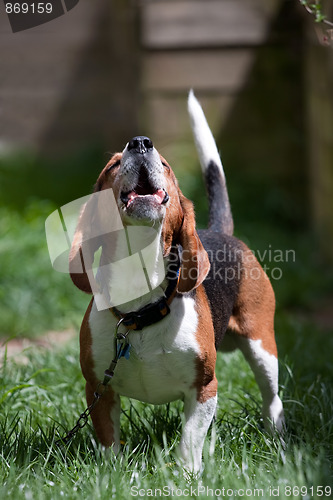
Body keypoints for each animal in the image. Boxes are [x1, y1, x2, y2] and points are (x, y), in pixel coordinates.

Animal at [68, 91, 284, 472]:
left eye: (166, 164)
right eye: (112, 166)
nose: (140, 142)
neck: (140, 309)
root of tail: (219, 231)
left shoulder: (204, 387)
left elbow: (189, 443)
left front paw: (187, 477)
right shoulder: (98, 389)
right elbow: (108, 443)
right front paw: (111, 477)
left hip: (262, 348)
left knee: (272, 398)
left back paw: (275, 437)